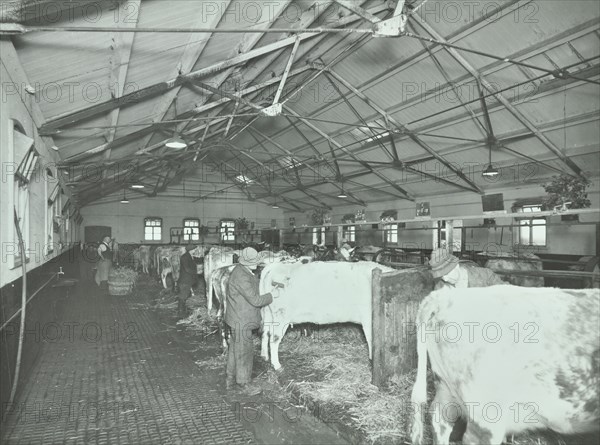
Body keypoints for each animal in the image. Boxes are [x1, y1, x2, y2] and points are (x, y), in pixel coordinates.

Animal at [258, 260, 394, 368]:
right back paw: (276, 365)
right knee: (274, 338)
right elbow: (372, 341)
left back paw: (264, 356)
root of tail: (277, 266)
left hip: (268, 312)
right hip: (281, 315)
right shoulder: (368, 319)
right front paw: (372, 360)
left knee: (265, 333)